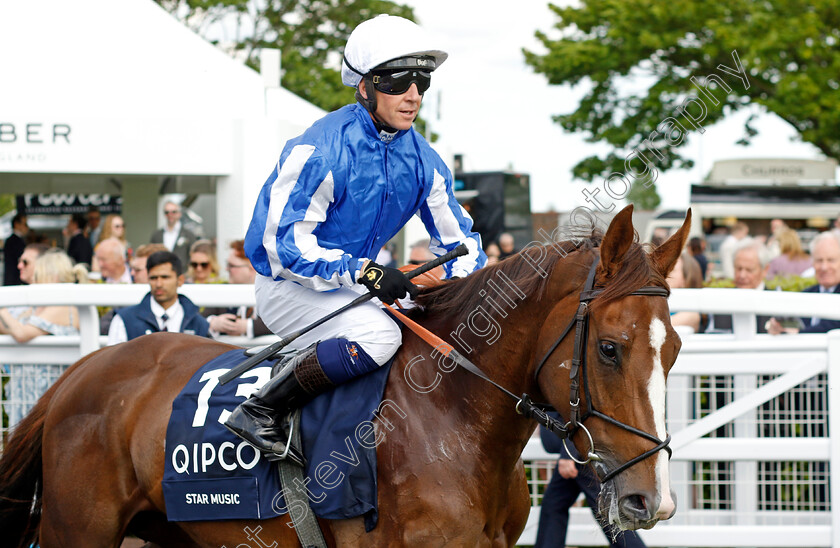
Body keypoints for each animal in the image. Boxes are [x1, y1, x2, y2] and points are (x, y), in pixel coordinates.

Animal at [1, 207, 688, 548]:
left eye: (676, 349)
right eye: (609, 348)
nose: (649, 500)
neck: (453, 420)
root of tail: (78, 373)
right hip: (77, 531)